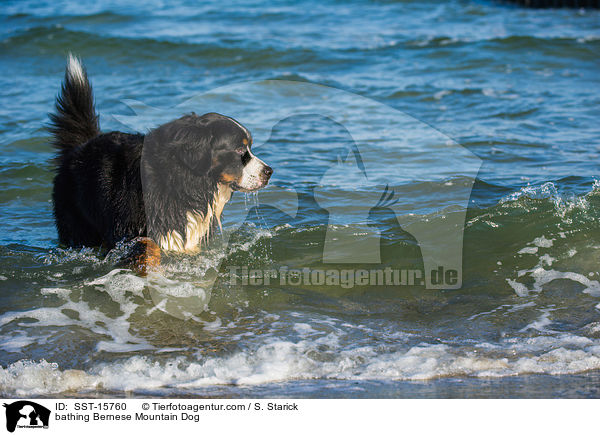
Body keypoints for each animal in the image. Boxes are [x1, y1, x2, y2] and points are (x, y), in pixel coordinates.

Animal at [48, 54, 274, 270]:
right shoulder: (133, 230)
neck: (185, 180)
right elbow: (149, 247)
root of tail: (83, 145)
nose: (269, 171)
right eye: (239, 149)